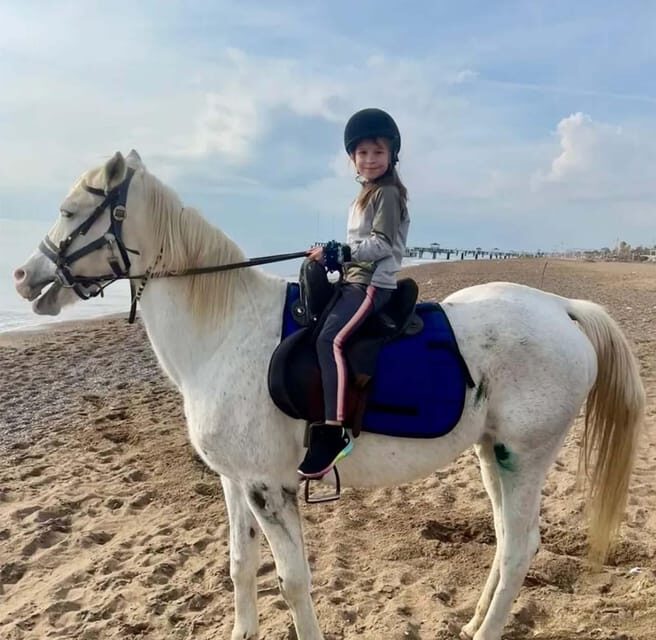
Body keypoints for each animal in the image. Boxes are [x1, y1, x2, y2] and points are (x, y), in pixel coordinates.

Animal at [13, 151, 645, 640]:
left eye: (69, 211)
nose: (21, 277)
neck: (224, 331)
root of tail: (562, 308)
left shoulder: (267, 486)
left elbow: (292, 581)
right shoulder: (236, 481)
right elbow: (240, 565)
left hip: (524, 456)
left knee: (519, 548)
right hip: (494, 454)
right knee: (504, 537)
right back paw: (471, 621)